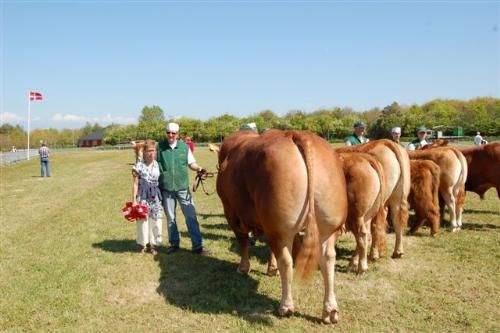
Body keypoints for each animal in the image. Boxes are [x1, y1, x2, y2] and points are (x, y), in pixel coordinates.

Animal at [215, 129, 348, 322]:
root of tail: (296, 134)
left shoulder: (232, 213)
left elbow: (243, 241)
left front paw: (243, 268)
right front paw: (271, 269)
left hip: (281, 229)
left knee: (286, 260)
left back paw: (286, 306)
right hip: (329, 227)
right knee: (328, 258)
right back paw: (330, 310)